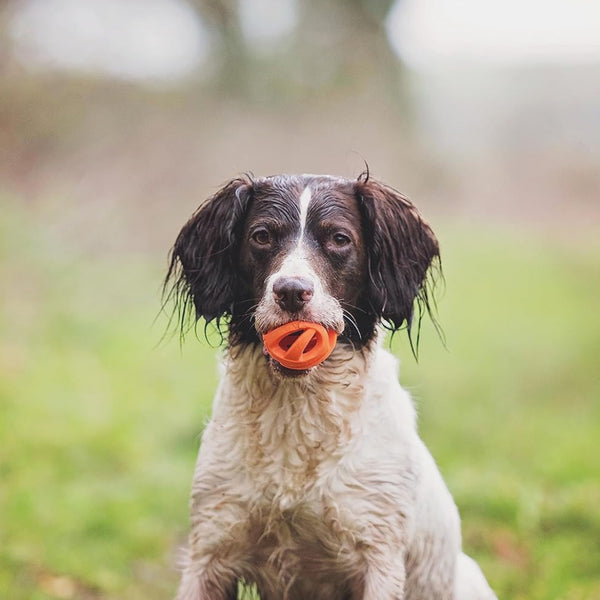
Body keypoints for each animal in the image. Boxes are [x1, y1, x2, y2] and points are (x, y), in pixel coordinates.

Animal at [165, 172, 496, 600]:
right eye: (261, 236)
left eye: (339, 239)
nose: (291, 291)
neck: (298, 409)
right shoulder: (211, 547)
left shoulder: (378, 554)